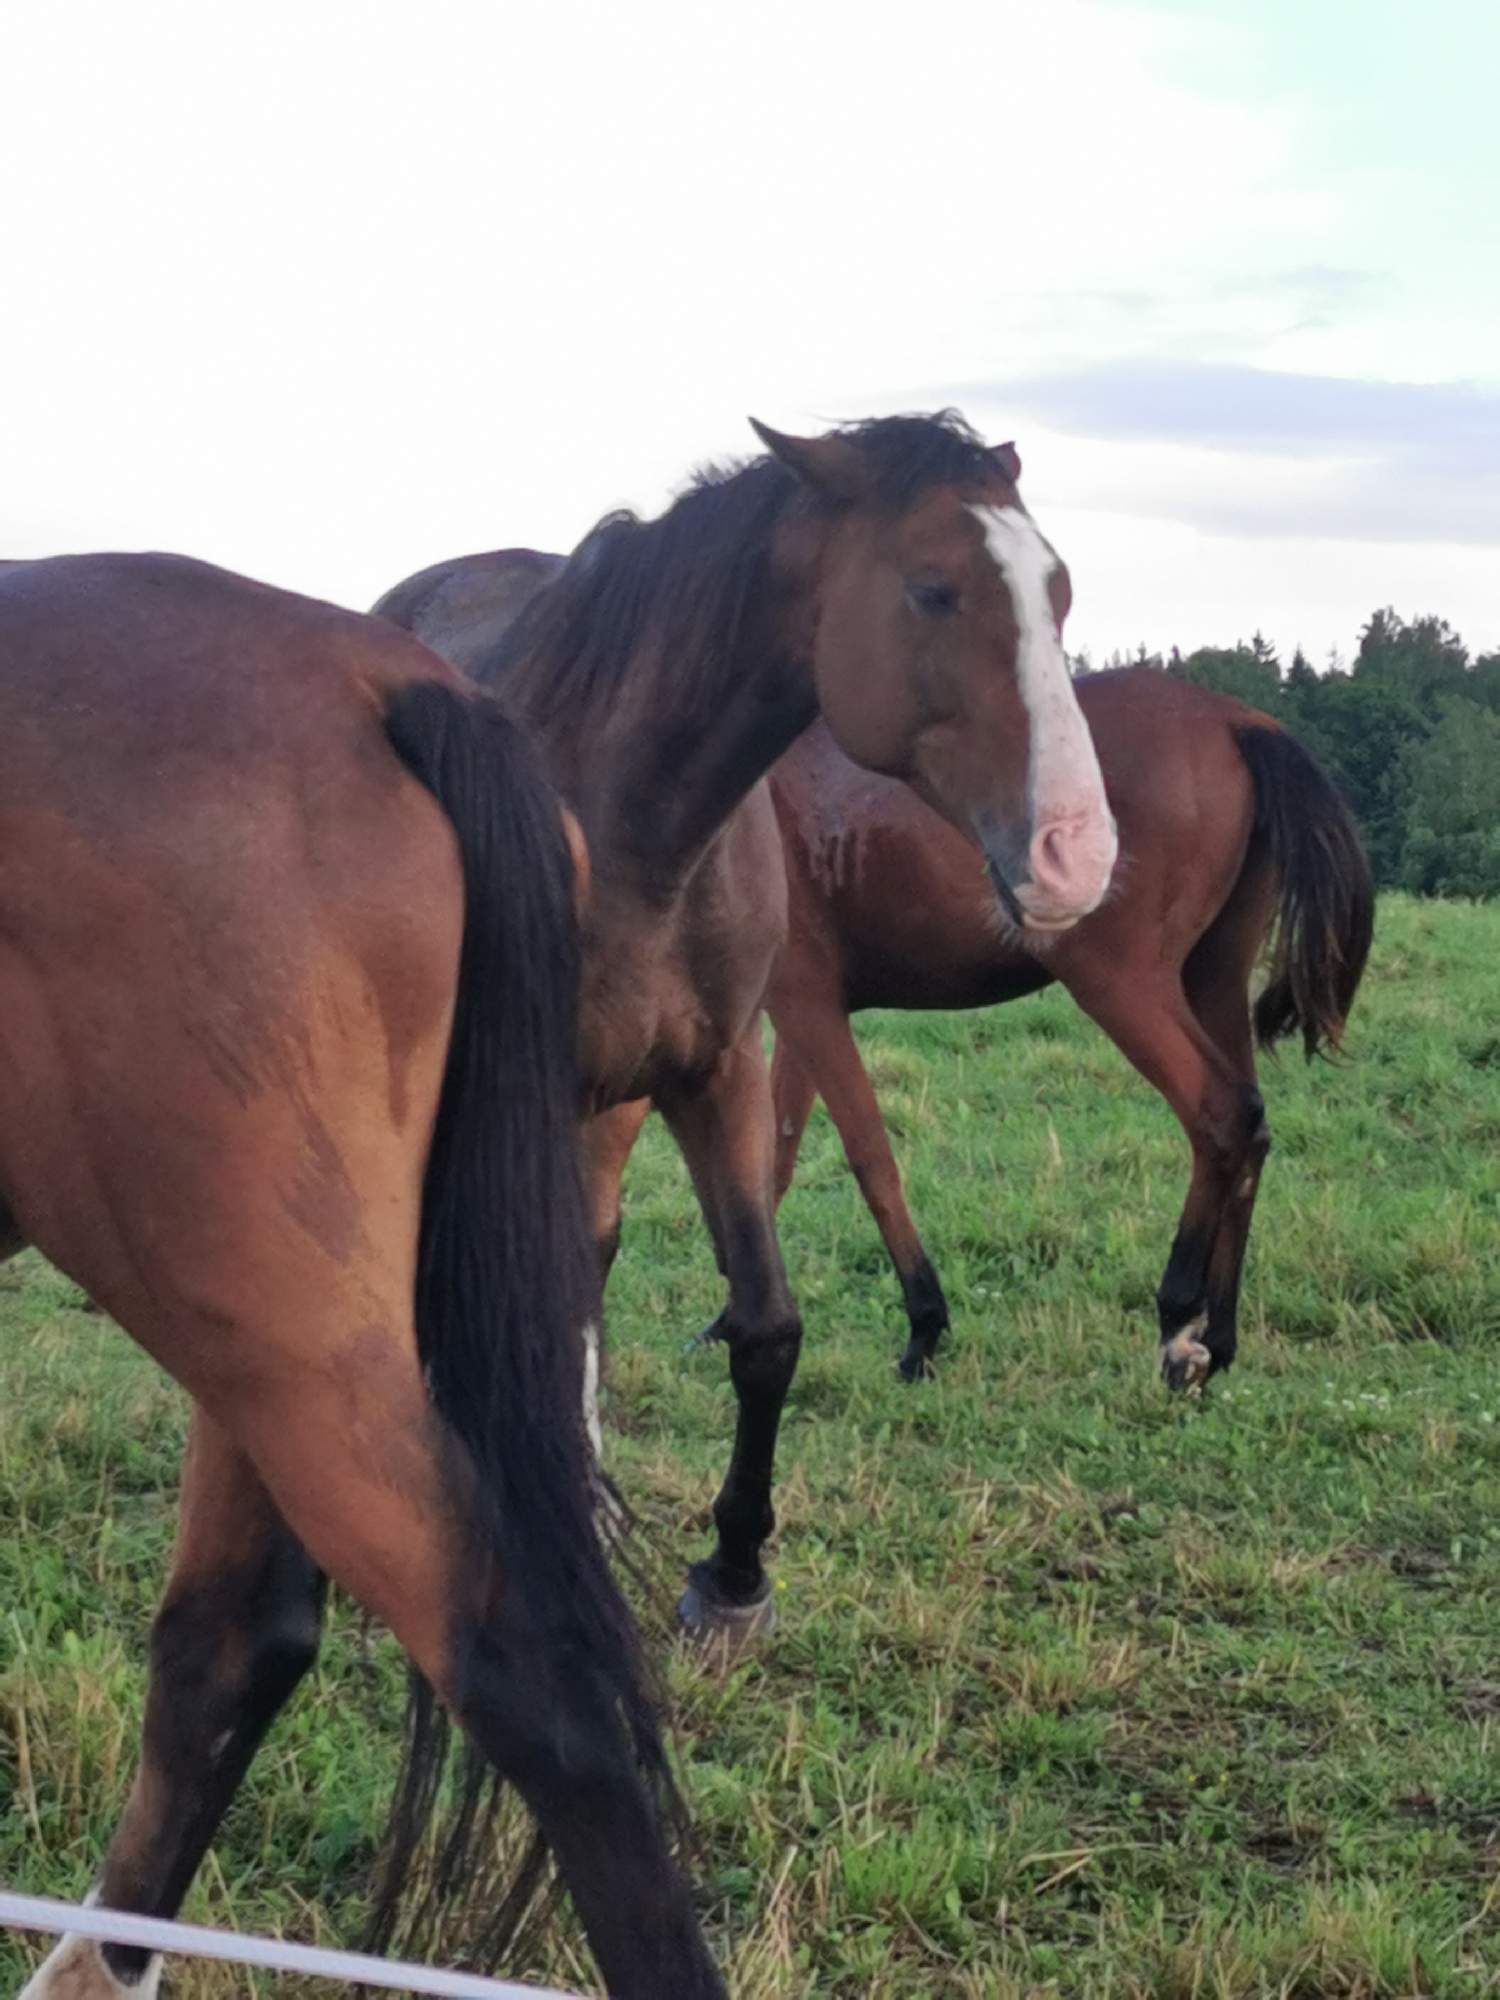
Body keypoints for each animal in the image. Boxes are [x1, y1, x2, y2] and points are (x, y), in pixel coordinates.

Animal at [375, 412, 1119, 1641]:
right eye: (934, 589)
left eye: (1057, 587)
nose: (1079, 855)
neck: (632, 823)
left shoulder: (716, 1071)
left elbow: (764, 1327)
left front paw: (731, 1569)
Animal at [765, 668, 1375, 1386]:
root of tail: (1238, 720)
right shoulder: (797, 1011)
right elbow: (776, 1163)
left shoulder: (805, 1003)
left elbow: (869, 1159)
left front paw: (924, 1326)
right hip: (1214, 978)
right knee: (1251, 1130)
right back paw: (1218, 1337)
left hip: (1119, 983)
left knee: (1222, 1114)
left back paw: (1177, 1317)